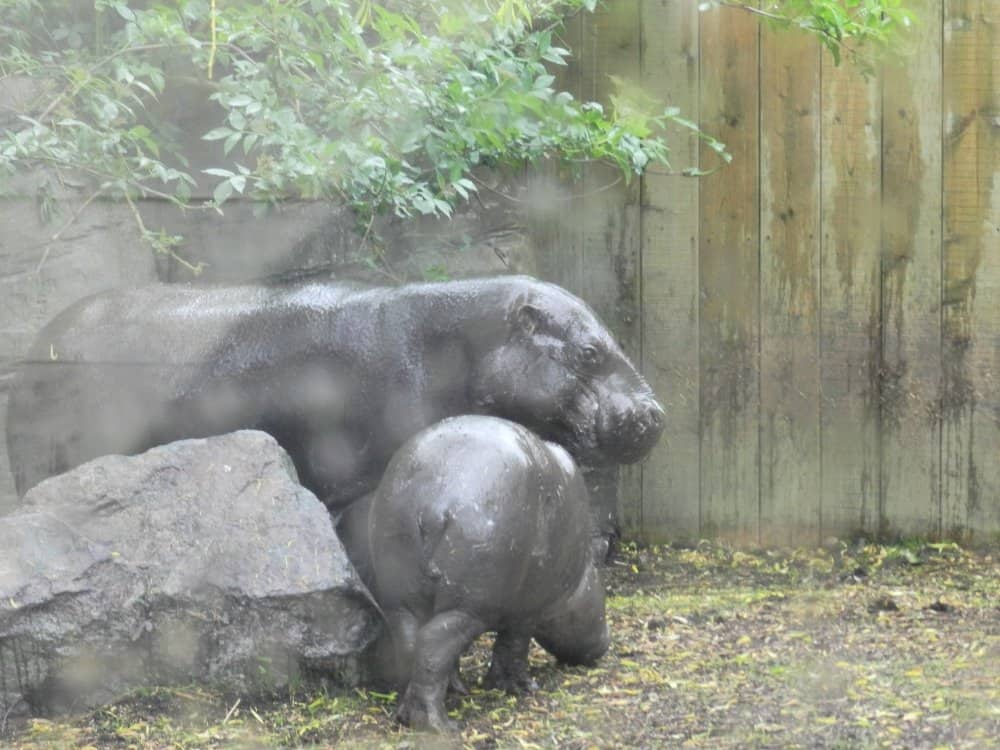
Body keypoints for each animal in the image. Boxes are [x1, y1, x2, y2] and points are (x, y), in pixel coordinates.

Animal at [342, 414, 608, 732]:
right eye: (604, 596)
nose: (605, 644)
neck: (579, 571)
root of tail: (433, 505)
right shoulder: (527, 611)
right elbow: (512, 648)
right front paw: (521, 687)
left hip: (401, 591)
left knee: (411, 643)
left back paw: (413, 712)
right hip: (468, 605)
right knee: (432, 644)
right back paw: (440, 725)